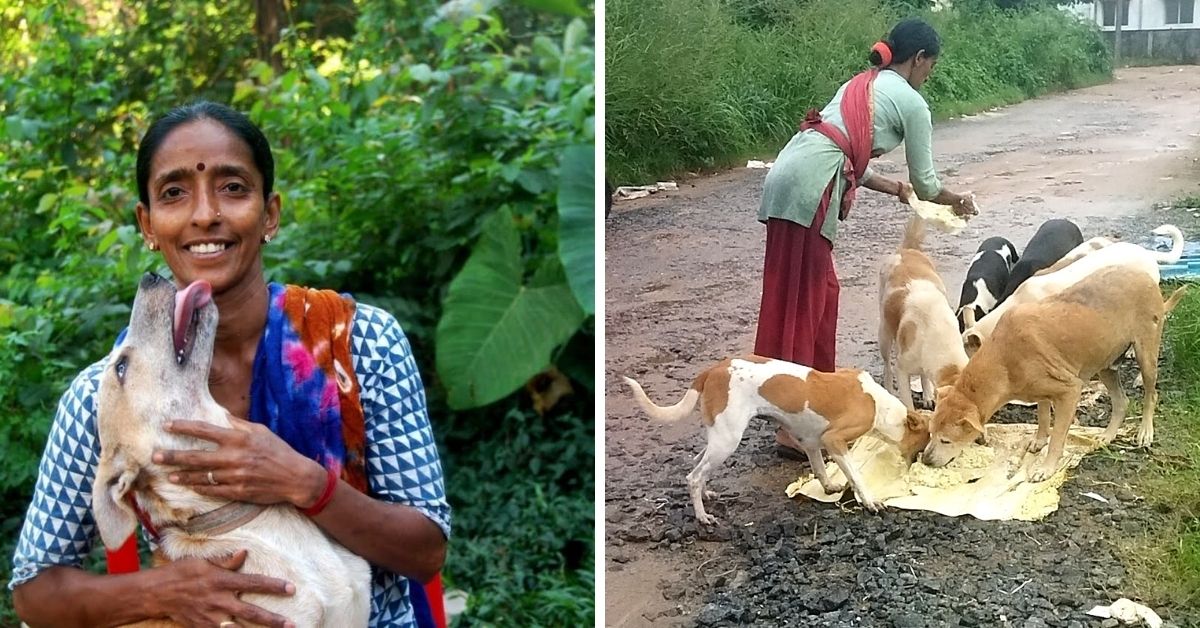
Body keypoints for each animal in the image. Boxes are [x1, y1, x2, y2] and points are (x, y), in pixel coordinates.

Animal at [624, 357, 931, 525]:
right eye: (923, 443)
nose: (922, 463)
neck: (879, 405)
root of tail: (713, 371)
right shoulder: (834, 440)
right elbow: (856, 475)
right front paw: (869, 501)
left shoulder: (811, 440)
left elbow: (820, 468)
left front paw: (829, 487)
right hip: (728, 440)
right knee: (693, 476)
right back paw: (702, 516)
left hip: (719, 437)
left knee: (698, 465)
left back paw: (707, 493)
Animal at [878, 218, 969, 410]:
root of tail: (906, 250)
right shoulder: (902, 369)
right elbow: (907, 403)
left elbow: (925, 375)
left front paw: (928, 394)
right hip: (884, 335)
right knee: (887, 366)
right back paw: (889, 388)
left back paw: (927, 395)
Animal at [921, 265, 1185, 482]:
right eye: (931, 433)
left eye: (946, 440)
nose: (925, 460)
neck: (1003, 361)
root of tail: (1145, 276)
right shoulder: (1041, 390)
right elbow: (1042, 416)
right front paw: (1039, 441)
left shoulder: (1070, 390)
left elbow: (1058, 436)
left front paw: (1046, 468)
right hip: (1106, 365)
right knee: (1121, 402)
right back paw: (1108, 435)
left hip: (1145, 352)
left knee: (1151, 394)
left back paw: (1145, 432)